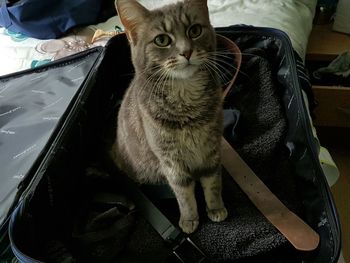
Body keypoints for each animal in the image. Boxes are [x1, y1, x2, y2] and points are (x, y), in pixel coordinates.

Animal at [111, 0, 227, 235]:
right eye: (162, 40)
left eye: (195, 30)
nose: (187, 51)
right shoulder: (171, 161)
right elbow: (184, 195)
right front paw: (189, 219)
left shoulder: (212, 149)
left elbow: (213, 183)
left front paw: (216, 208)